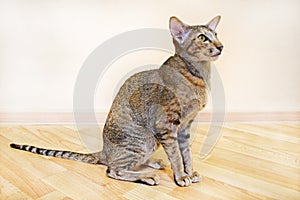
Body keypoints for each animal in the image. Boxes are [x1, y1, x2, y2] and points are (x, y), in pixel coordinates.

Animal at [9, 16, 223, 187]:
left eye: (216, 34)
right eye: (202, 38)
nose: (220, 46)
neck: (199, 75)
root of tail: (104, 151)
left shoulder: (185, 125)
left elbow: (186, 153)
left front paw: (190, 172)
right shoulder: (167, 125)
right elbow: (176, 155)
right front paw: (181, 177)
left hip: (151, 141)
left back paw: (153, 163)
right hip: (144, 140)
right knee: (113, 169)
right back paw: (148, 176)